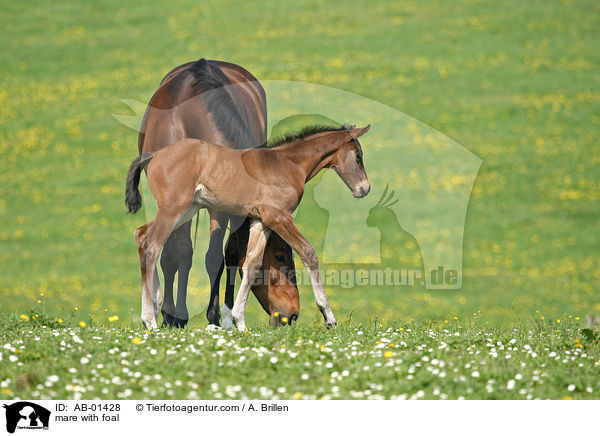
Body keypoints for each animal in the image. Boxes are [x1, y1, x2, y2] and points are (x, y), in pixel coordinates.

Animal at [126, 124, 370, 328]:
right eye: (358, 157)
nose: (365, 189)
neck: (286, 165)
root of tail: (156, 154)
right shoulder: (279, 217)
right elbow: (308, 253)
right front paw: (329, 317)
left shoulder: (261, 221)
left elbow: (252, 265)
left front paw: (240, 323)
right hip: (174, 209)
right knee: (152, 245)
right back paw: (150, 320)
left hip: (187, 210)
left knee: (142, 235)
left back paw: (155, 305)